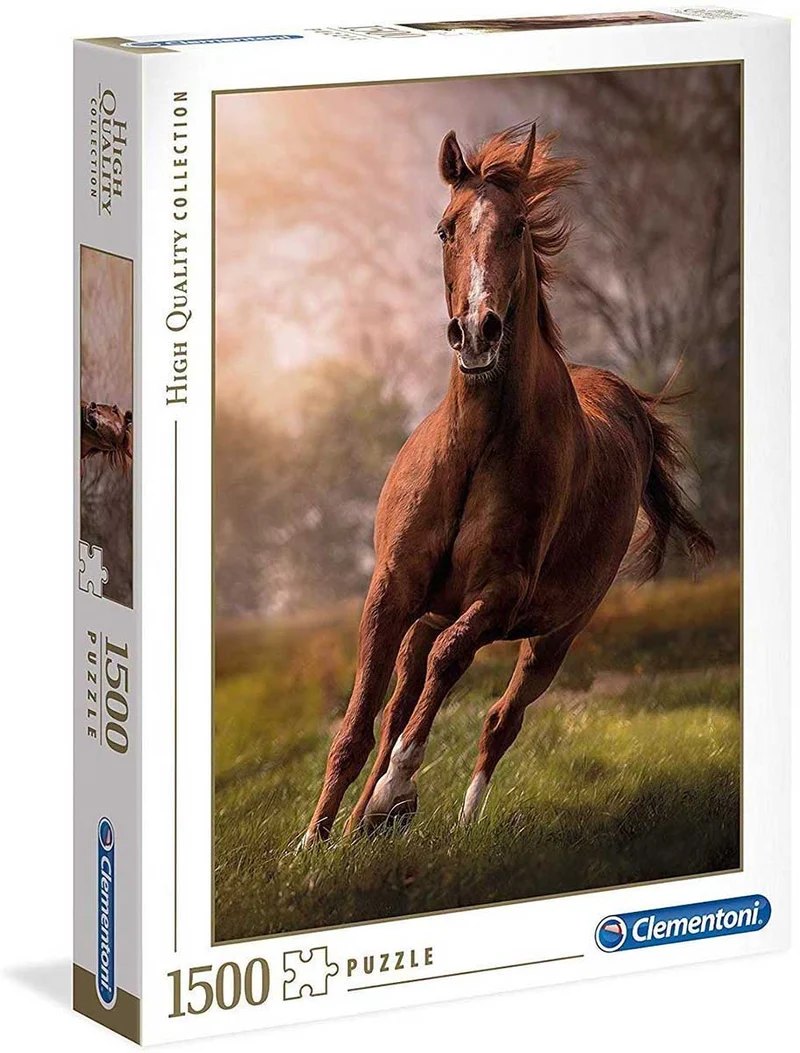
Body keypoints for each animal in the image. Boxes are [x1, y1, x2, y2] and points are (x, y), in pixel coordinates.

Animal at [302, 122, 714, 847]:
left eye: (518, 226)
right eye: (446, 228)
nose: (477, 330)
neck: (473, 448)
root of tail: (631, 402)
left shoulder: (499, 594)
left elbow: (449, 667)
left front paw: (398, 792)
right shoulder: (392, 590)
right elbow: (359, 722)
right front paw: (311, 843)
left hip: (555, 636)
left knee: (499, 717)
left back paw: (452, 820)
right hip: (434, 611)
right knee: (403, 696)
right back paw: (359, 826)